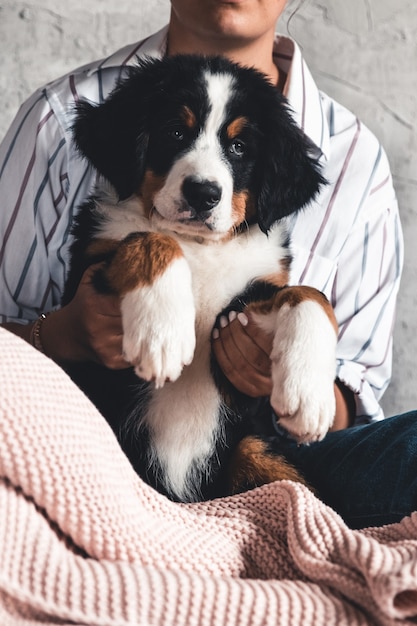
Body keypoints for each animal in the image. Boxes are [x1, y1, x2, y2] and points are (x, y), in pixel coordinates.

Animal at [64, 54, 338, 502]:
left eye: (239, 147)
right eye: (175, 131)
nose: (203, 194)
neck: (201, 248)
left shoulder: (243, 302)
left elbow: (308, 294)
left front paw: (309, 394)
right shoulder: (91, 260)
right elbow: (149, 237)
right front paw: (162, 337)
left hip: (254, 449)